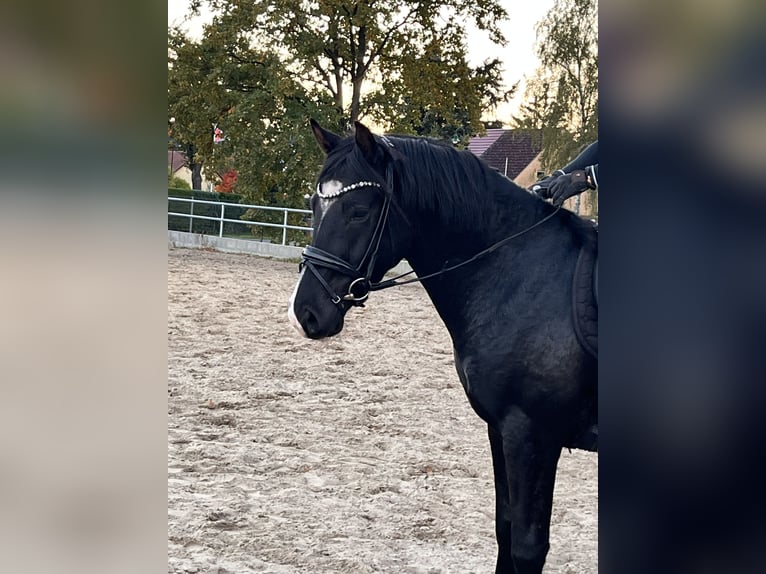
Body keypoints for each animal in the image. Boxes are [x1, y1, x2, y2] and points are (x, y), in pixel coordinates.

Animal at [290, 121, 600, 574]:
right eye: (314, 204)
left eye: (359, 211)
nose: (305, 313)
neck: (520, 275)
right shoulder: (500, 428)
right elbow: (504, 529)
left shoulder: (533, 433)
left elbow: (528, 547)